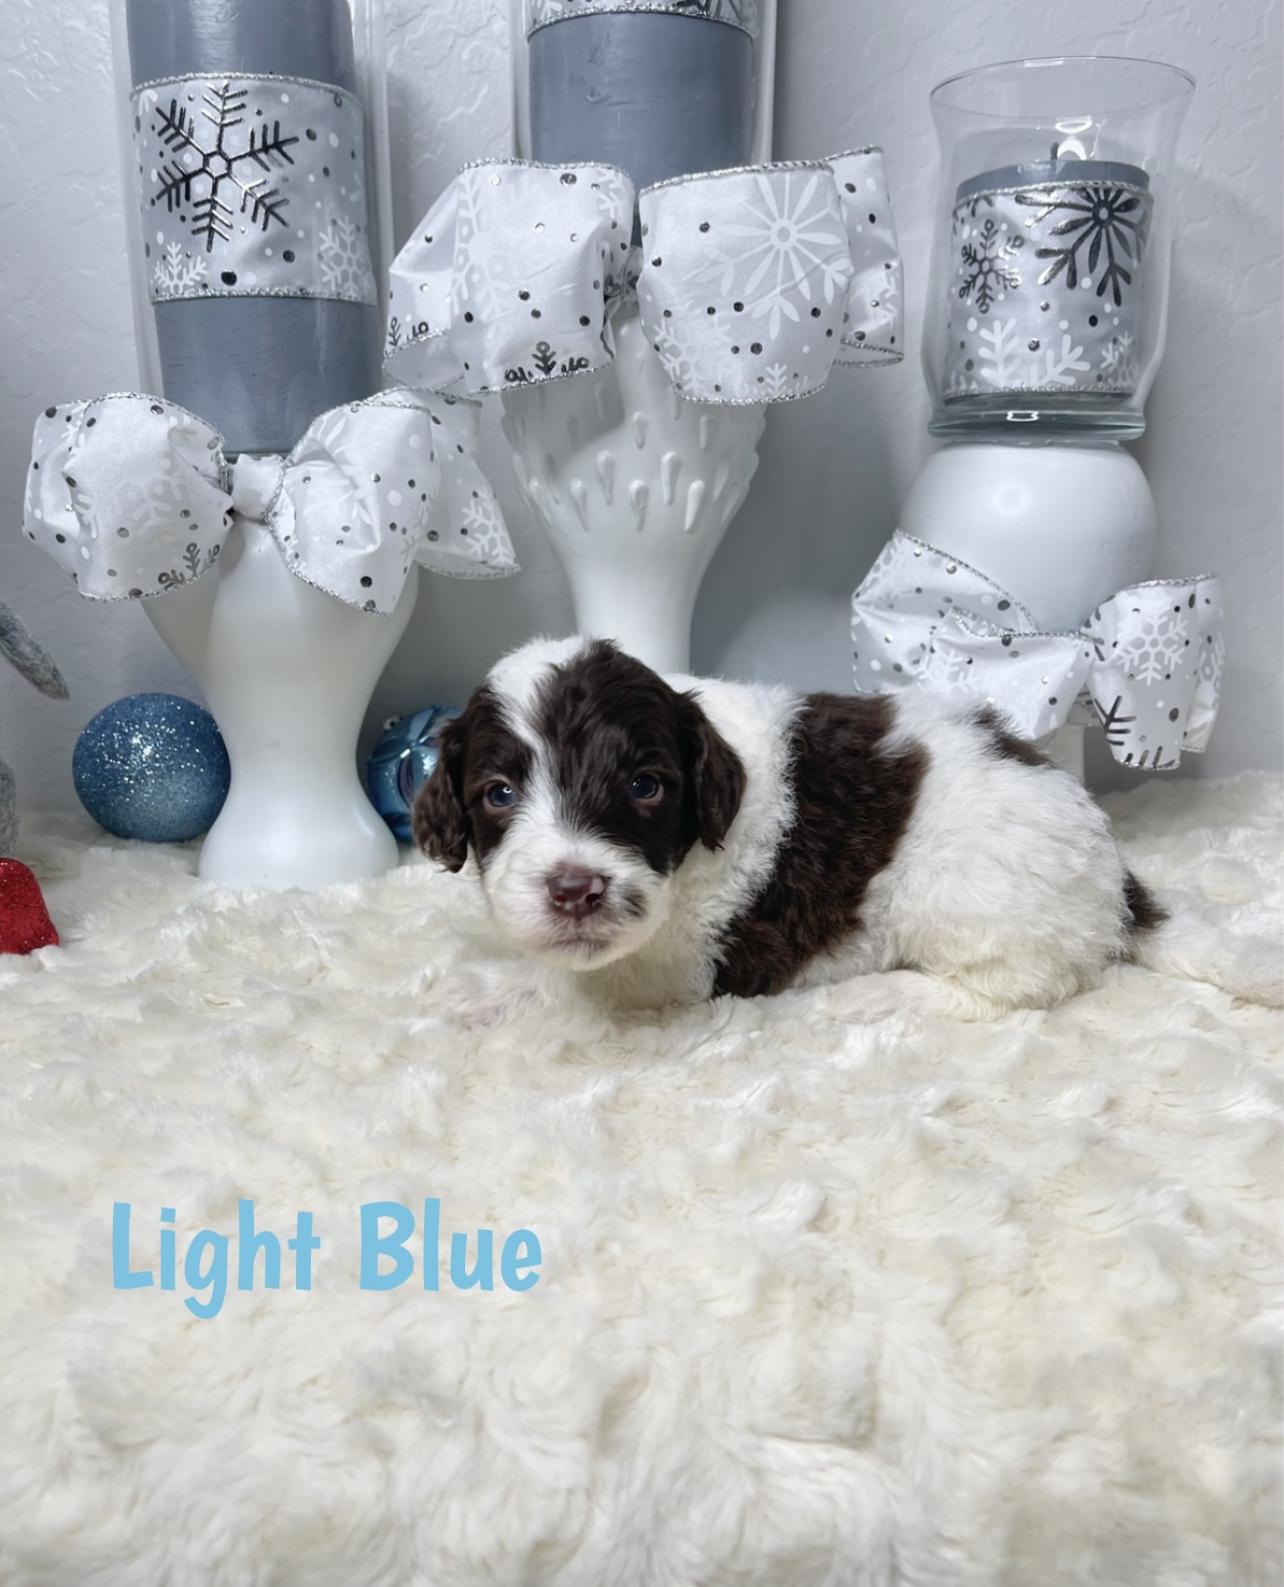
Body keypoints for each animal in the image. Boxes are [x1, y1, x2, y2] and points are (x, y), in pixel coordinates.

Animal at [413, 636, 1277, 1018]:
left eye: (645, 786)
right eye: (497, 794)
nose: (575, 890)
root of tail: (1117, 879)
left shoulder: (683, 961)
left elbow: (573, 983)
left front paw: (473, 983)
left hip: (966, 900)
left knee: (1009, 989)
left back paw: (875, 997)